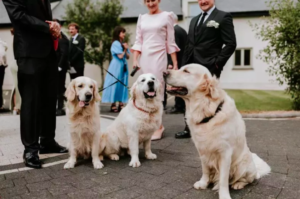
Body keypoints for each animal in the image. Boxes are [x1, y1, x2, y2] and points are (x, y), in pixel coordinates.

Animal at [165, 64, 270, 199]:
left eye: (186, 71)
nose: (164, 72)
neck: (206, 111)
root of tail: (256, 171)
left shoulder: (225, 153)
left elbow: (224, 179)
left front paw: (224, 195)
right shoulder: (202, 149)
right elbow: (205, 169)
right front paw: (203, 183)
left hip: (242, 165)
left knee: (247, 179)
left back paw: (238, 184)